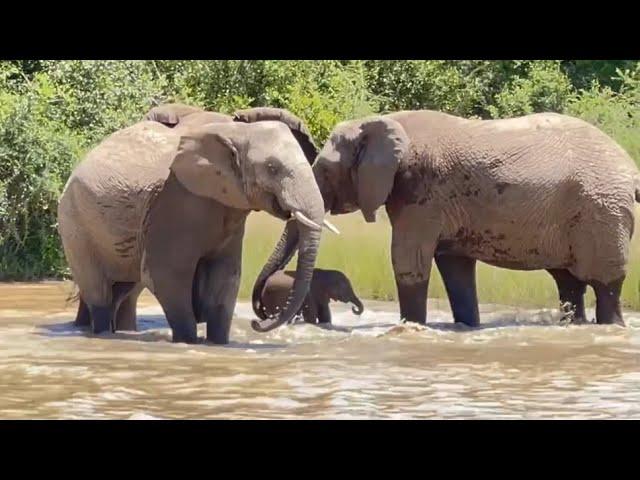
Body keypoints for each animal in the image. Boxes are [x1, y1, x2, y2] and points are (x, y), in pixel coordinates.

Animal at [56, 107, 336, 344]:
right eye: (272, 168)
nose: (258, 322)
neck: (236, 132)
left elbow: (225, 275)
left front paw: (218, 344)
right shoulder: (176, 199)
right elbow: (165, 273)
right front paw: (189, 342)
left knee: (123, 290)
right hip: (74, 223)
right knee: (100, 294)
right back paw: (103, 334)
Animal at [252, 109, 640, 328]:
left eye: (325, 172)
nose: (260, 316)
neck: (384, 121)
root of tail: (630, 168)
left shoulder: (421, 192)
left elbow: (409, 261)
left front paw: (411, 328)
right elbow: (455, 269)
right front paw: (465, 328)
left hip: (602, 212)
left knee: (605, 284)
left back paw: (610, 326)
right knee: (568, 282)